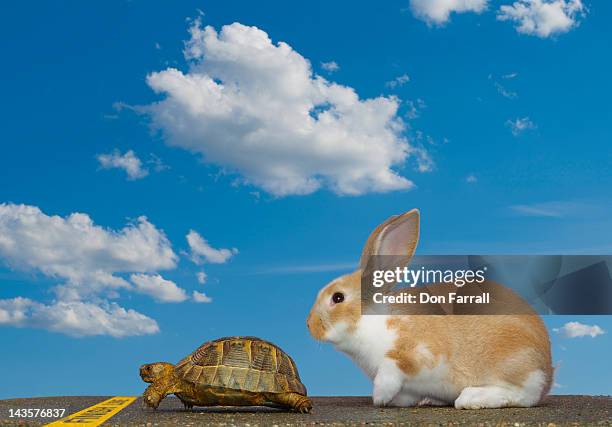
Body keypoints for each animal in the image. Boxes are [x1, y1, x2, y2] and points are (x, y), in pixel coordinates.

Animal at [308, 211, 552, 412]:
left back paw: (471, 398)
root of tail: (547, 369)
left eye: (337, 297)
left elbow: (390, 373)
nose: (309, 325)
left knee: (523, 395)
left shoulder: (414, 354)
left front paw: (379, 398)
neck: (370, 321)